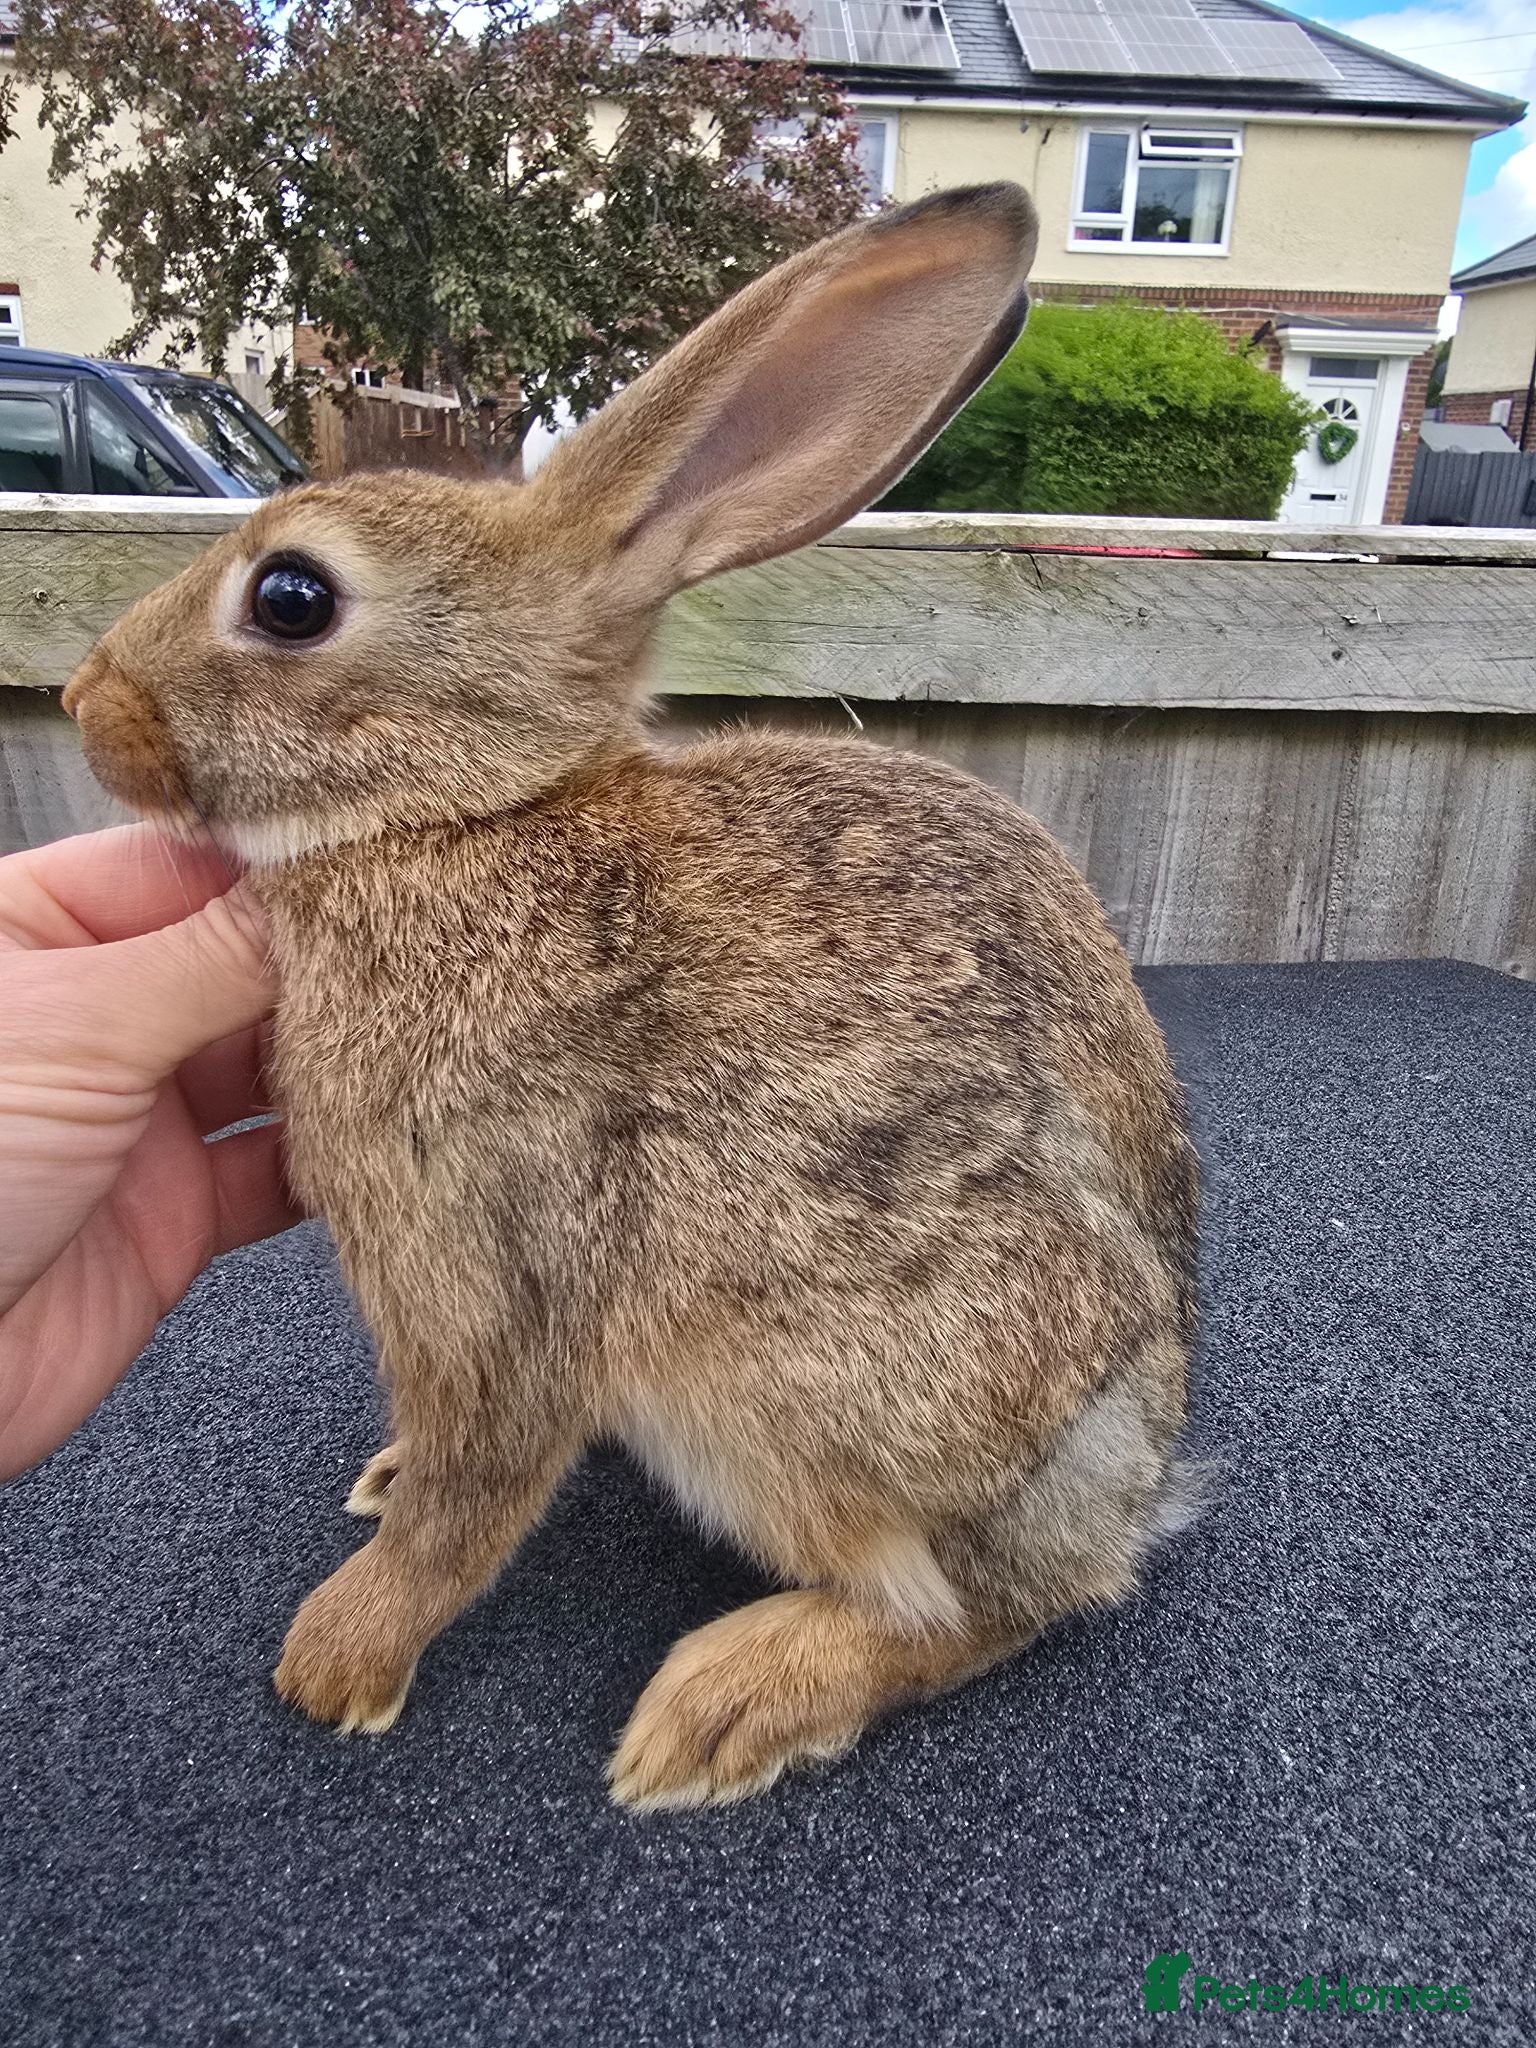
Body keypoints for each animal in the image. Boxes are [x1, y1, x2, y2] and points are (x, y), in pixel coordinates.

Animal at [62, 182, 1199, 1810]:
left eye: (290, 597)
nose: (86, 704)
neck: (465, 816)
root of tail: (1137, 1484)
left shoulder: (491, 1262)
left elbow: (474, 1491)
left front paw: (336, 1664)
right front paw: (381, 1493)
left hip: (826, 1395)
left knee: (977, 1611)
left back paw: (725, 1705)